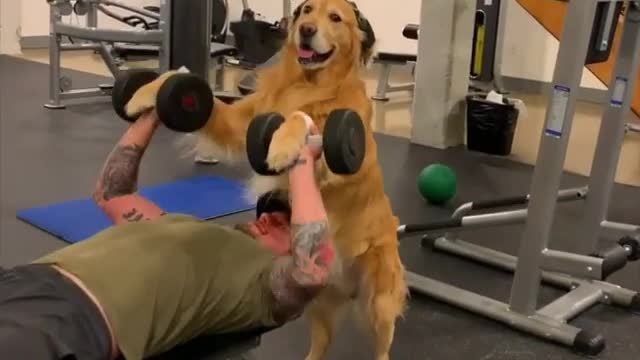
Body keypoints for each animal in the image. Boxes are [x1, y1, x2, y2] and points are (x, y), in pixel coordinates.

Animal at [124, 1, 410, 358]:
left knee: (382, 346)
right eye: (307, 10)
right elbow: (190, 91)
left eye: (335, 18)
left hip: (379, 304)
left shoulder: (334, 162)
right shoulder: (240, 123)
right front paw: (144, 93)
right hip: (319, 304)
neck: (309, 83)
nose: (306, 30)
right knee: (322, 343)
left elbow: (299, 118)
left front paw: (283, 144)